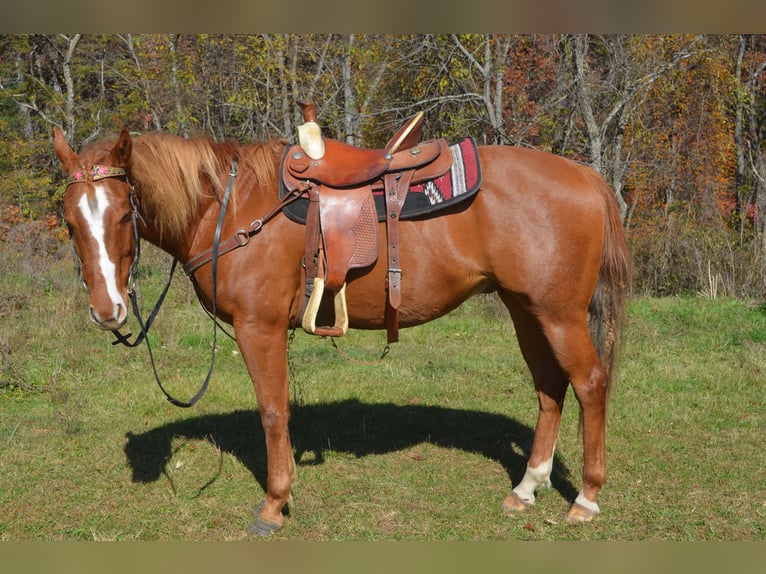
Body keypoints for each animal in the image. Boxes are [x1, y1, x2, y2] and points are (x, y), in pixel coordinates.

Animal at [52, 122, 632, 540]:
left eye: (123, 216)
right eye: (69, 222)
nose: (107, 311)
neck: (228, 209)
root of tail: (586, 177)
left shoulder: (258, 328)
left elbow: (272, 412)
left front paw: (274, 503)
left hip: (558, 315)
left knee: (590, 385)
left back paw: (586, 499)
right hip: (525, 309)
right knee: (549, 388)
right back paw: (527, 487)